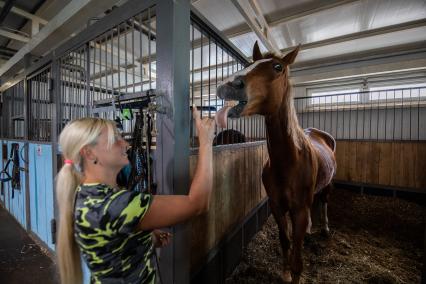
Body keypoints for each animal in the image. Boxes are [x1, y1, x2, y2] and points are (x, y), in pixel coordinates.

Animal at [216, 42, 336, 284]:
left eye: (278, 67)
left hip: (326, 186)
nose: (228, 85)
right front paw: (285, 272)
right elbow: (285, 239)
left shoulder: (299, 210)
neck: (289, 163)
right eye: (250, 64)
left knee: (325, 201)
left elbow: (298, 254)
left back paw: (325, 228)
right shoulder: (277, 206)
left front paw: (294, 271)